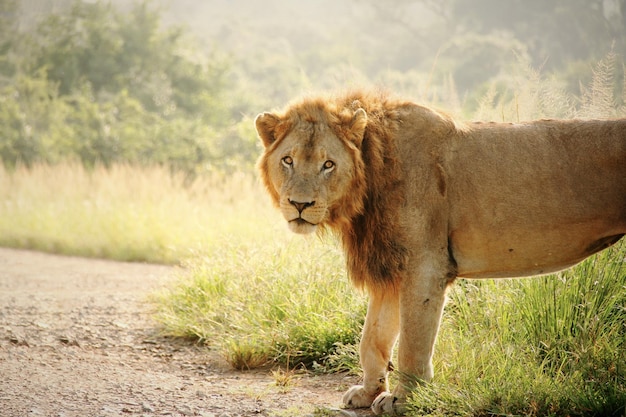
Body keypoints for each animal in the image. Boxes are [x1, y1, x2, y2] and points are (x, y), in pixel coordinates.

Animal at [255, 89, 624, 414]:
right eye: (288, 160)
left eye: (328, 164)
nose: (300, 204)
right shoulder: (391, 268)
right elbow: (373, 339)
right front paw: (368, 392)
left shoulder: (424, 266)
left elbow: (412, 343)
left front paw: (403, 399)